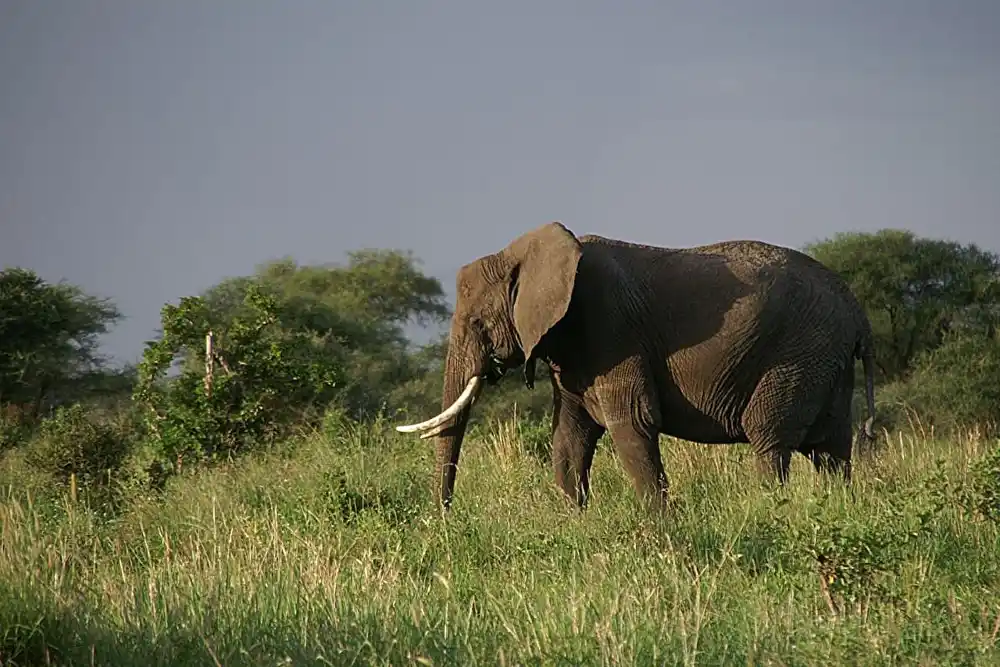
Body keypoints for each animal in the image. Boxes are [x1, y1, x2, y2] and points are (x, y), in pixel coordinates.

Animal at [396, 222, 876, 508]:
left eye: (477, 322)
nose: (444, 518)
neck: (528, 252)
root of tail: (857, 311)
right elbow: (569, 436)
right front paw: (576, 521)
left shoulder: (611, 328)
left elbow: (633, 422)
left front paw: (660, 524)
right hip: (825, 360)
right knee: (831, 449)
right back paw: (837, 508)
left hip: (797, 354)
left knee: (770, 438)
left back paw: (768, 509)